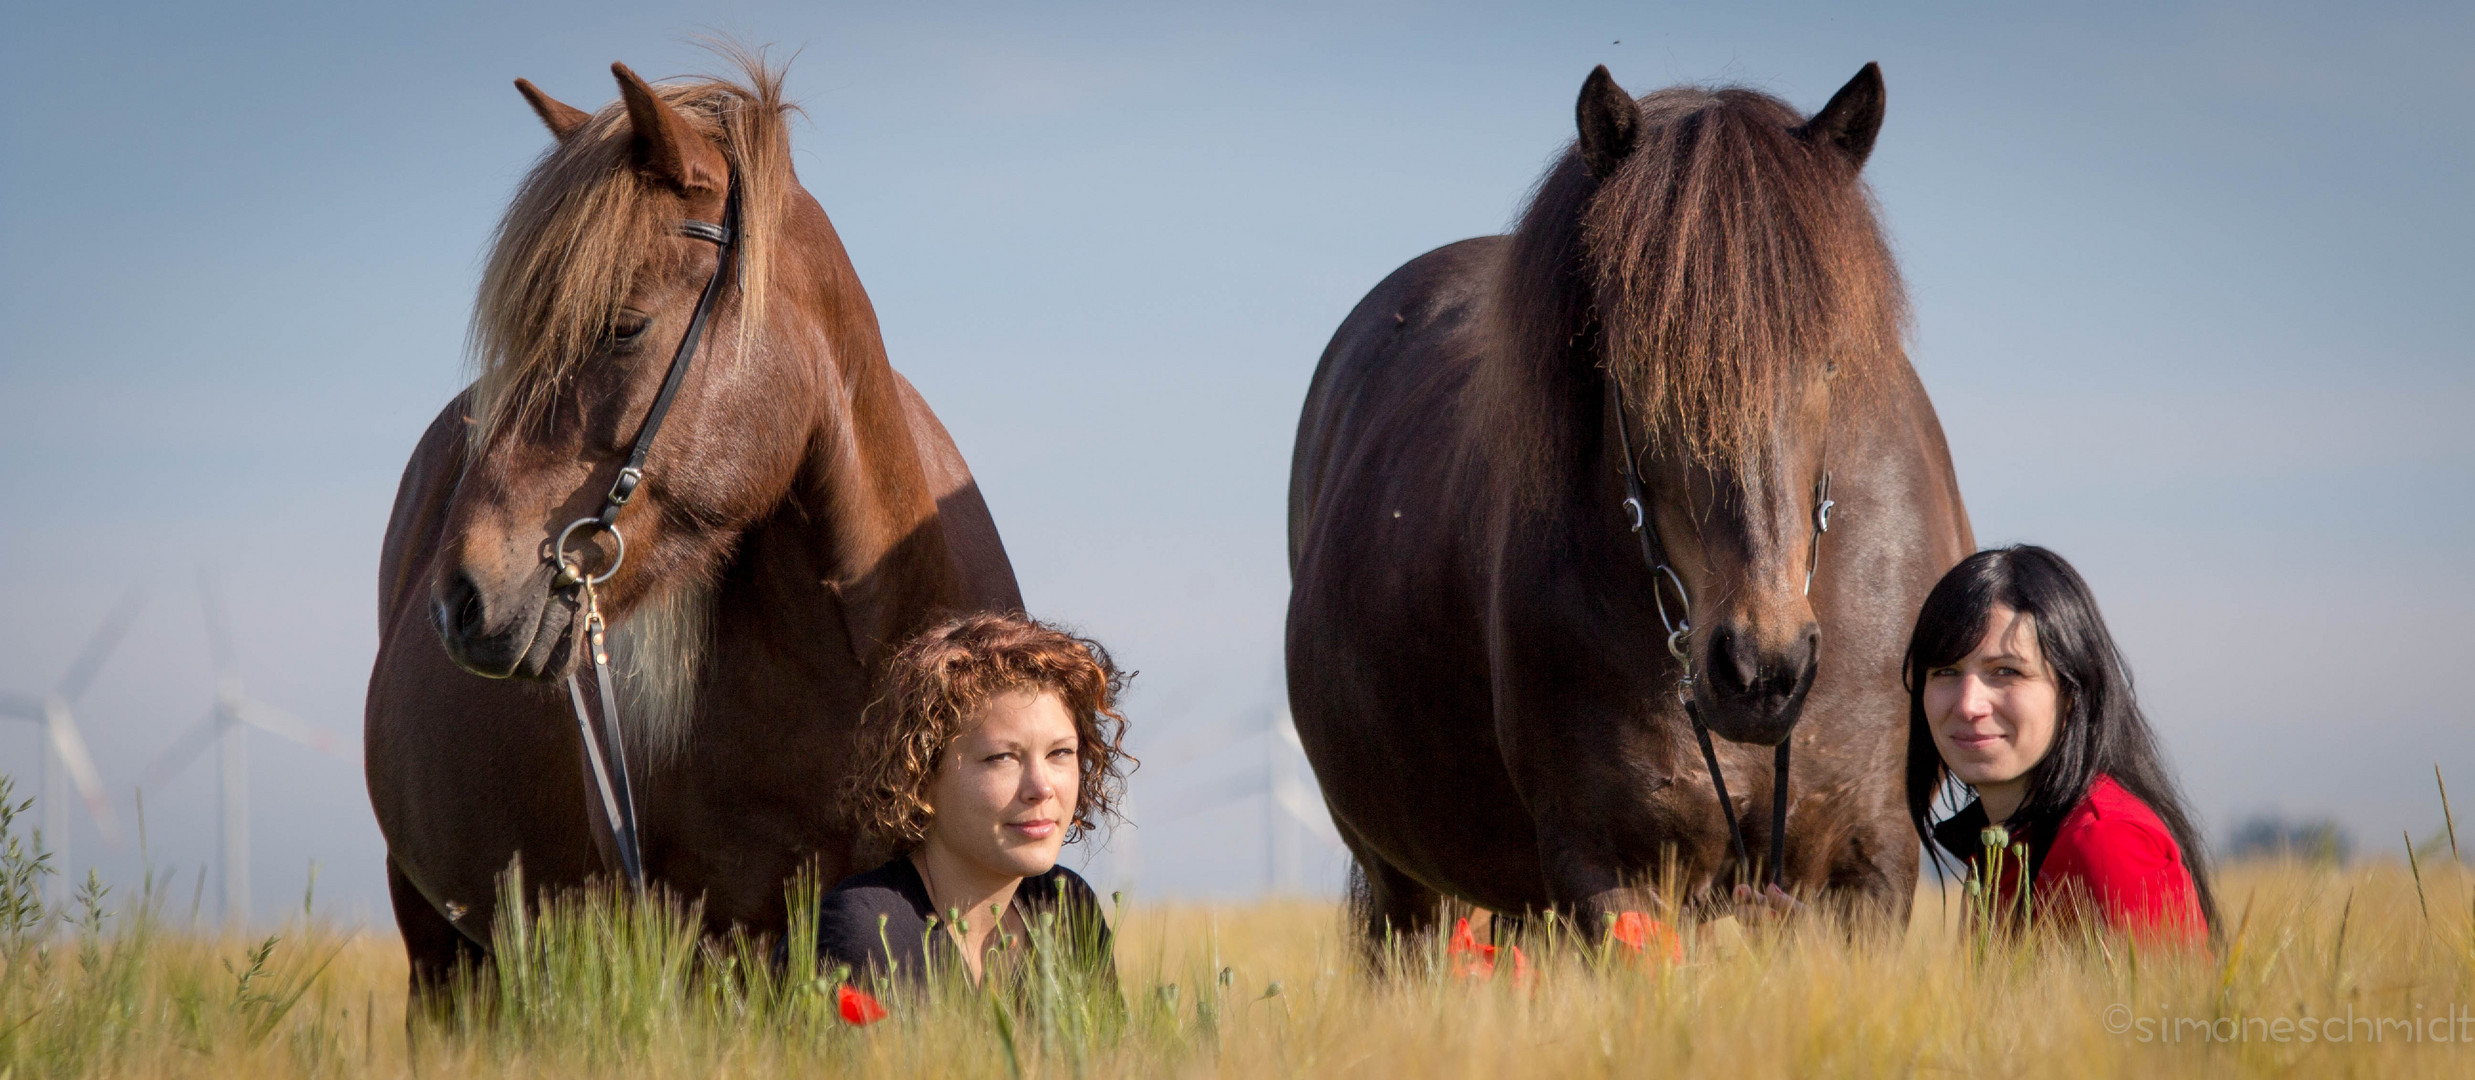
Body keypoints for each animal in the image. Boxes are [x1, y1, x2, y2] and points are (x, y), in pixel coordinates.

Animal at [1296, 63, 1970, 951]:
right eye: (1635, 361)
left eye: (1828, 358)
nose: (1760, 670)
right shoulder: (1606, 871)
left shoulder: (1870, 863)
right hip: (1406, 888)